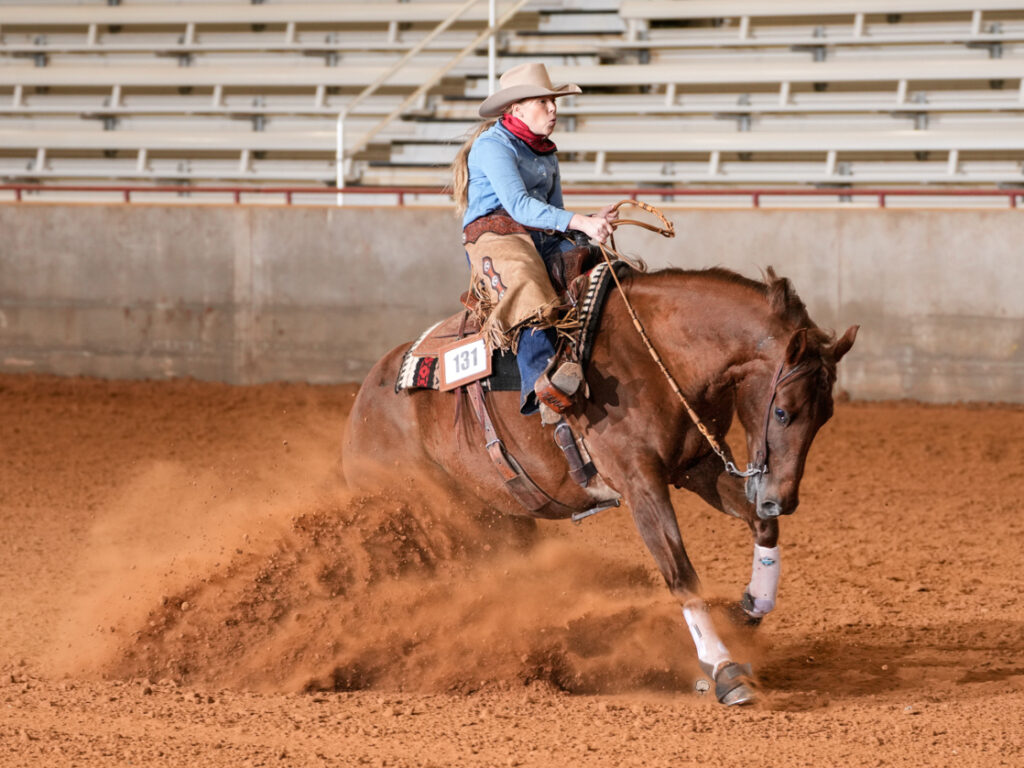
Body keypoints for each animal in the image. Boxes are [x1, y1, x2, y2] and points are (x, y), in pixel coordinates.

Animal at [344, 266, 856, 708]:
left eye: (826, 415)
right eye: (784, 411)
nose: (780, 499)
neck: (654, 359)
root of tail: (366, 397)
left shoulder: (698, 467)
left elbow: (761, 529)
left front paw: (749, 607)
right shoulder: (640, 482)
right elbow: (680, 572)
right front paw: (724, 669)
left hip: (494, 517)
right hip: (417, 513)